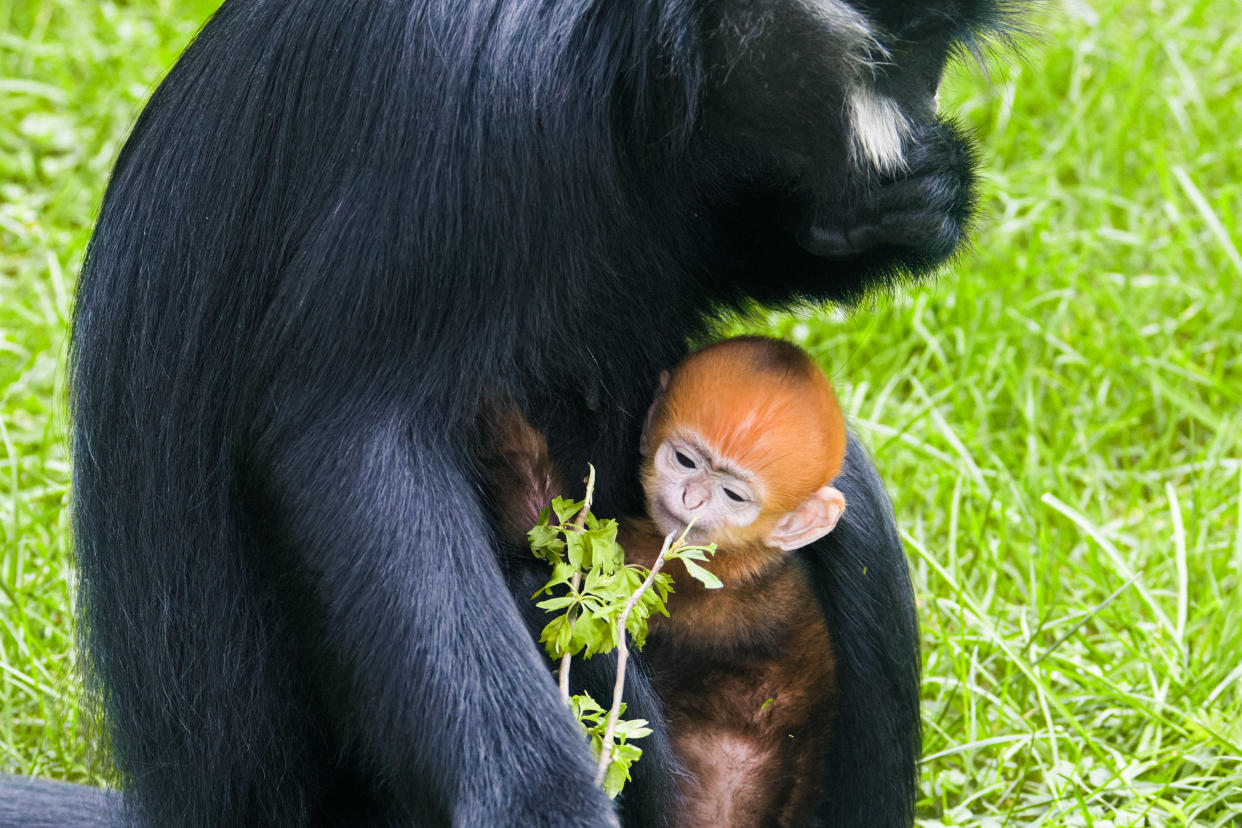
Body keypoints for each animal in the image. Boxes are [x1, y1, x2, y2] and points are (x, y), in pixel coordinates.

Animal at [484, 337, 844, 828]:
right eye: (685, 460)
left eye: (733, 496)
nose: (691, 500)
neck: (751, 557)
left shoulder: (686, 579)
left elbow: (557, 550)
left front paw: (500, 424)